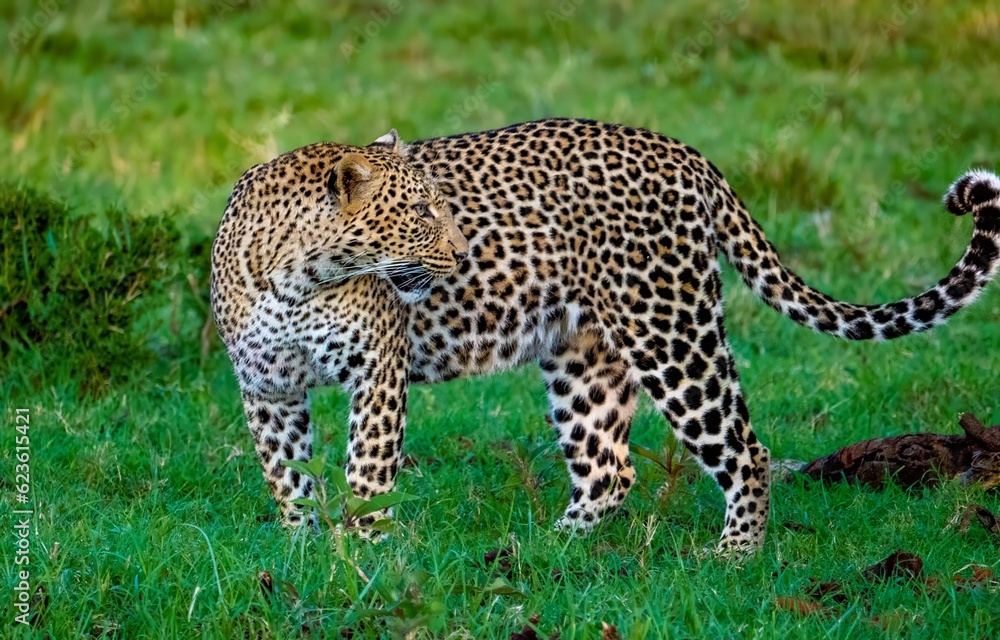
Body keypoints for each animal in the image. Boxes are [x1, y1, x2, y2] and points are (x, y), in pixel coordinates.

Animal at [213, 119, 1000, 552]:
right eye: (421, 213)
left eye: (442, 205)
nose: (464, 253)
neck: (300, 275)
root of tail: (683, 152)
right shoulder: (267, 387)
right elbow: (287, 477)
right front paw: (305, 549)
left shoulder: (378, 371)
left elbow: (366, 472)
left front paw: (364, 550)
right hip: (587, 358)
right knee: (609, 469)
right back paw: (548, 551)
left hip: (670, 330)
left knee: (745, 449)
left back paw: (732, 557)